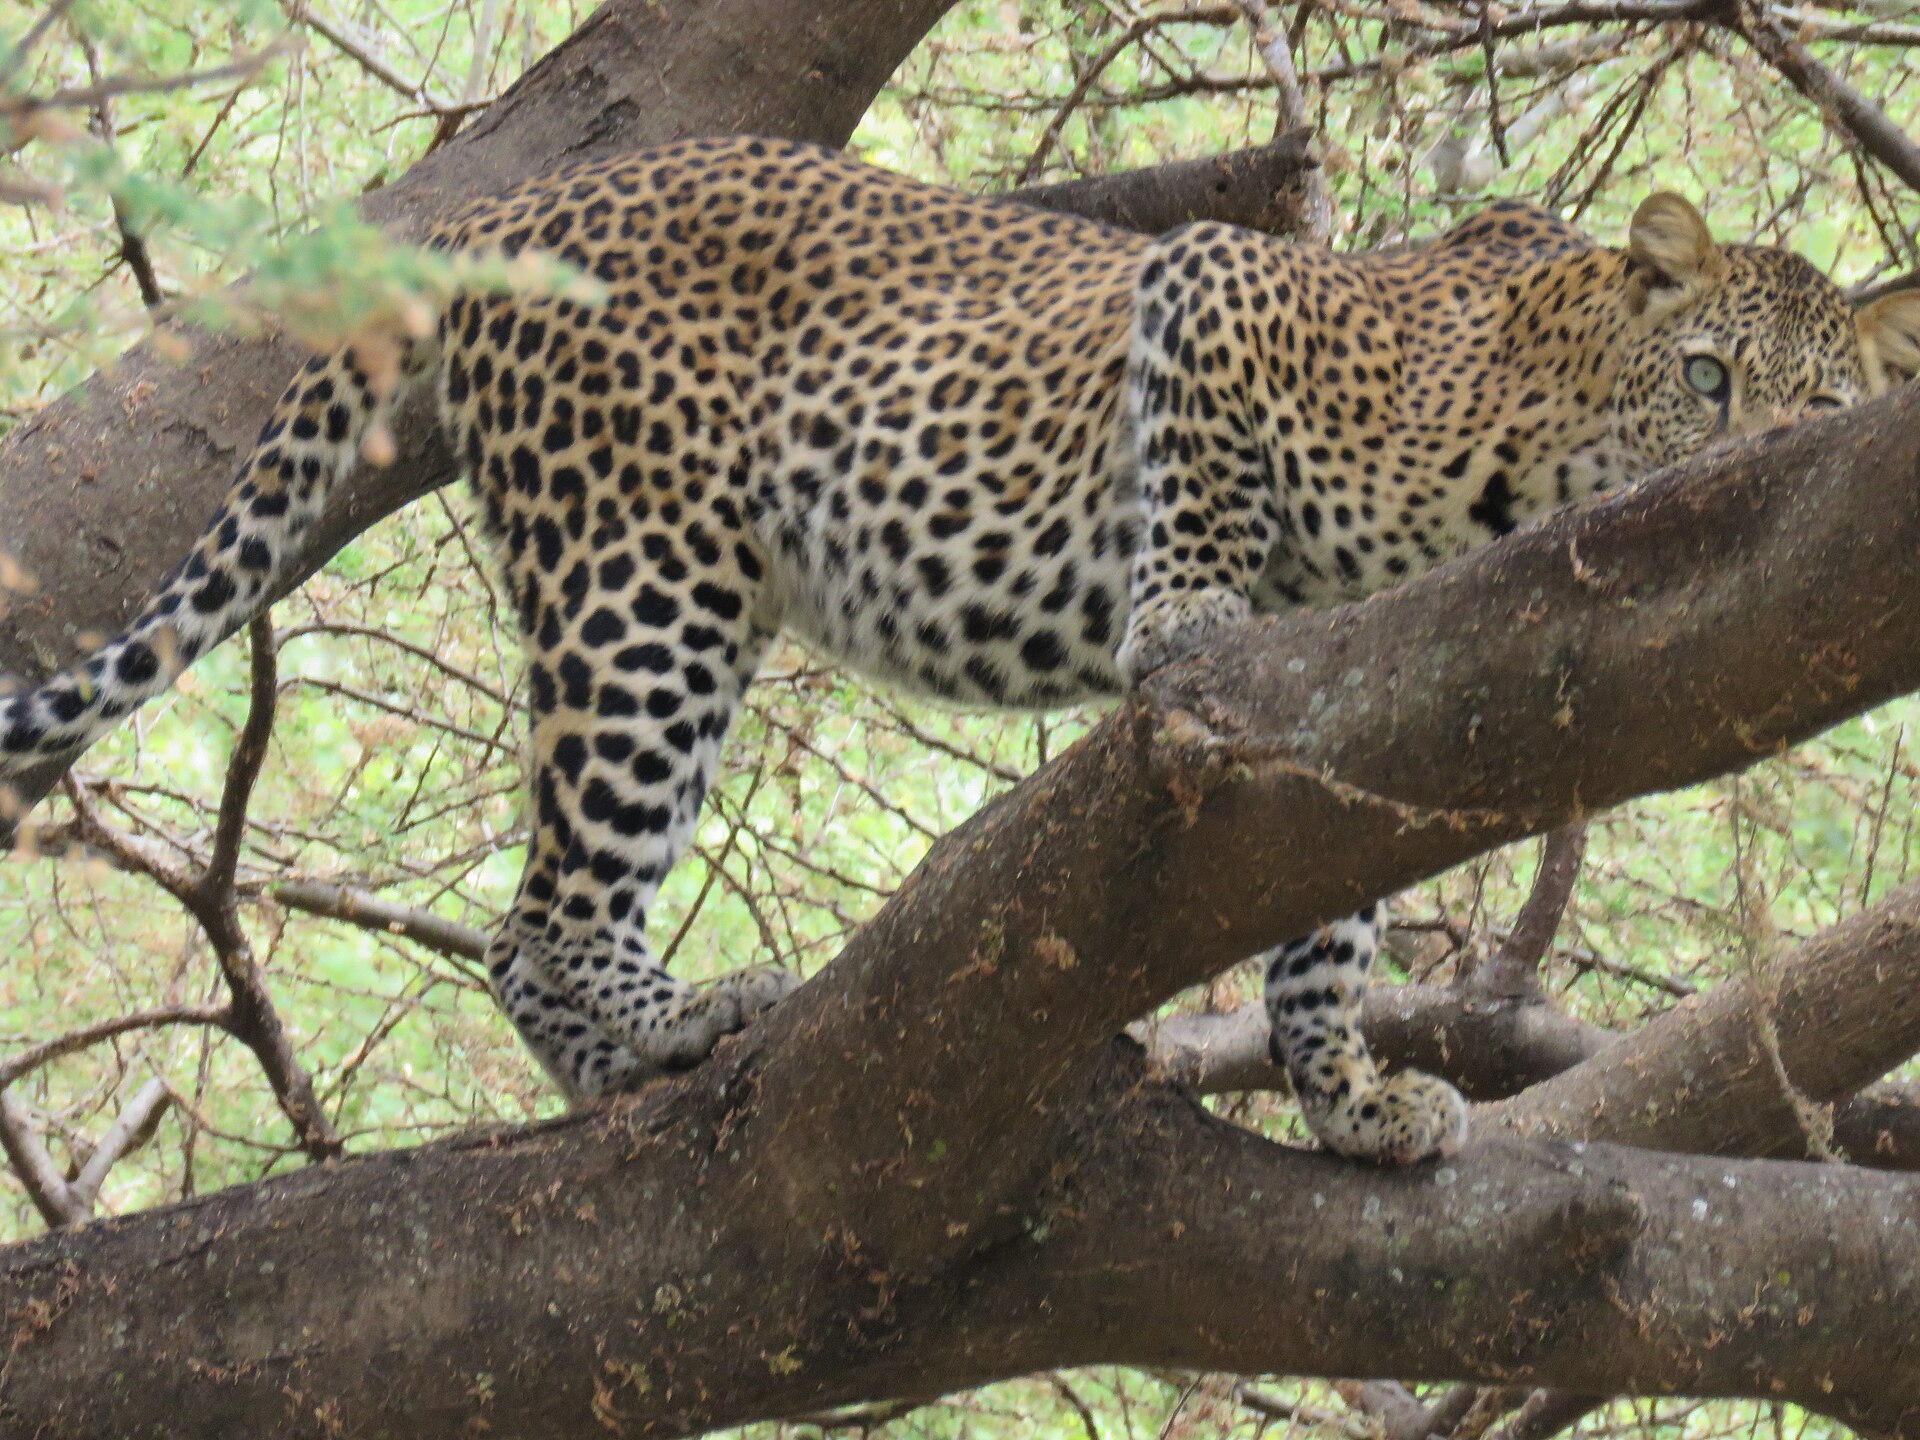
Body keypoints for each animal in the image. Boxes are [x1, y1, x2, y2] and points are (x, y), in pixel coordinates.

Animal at [5, 135, 1918, 1165]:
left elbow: (1325, 918)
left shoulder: (1375, 698)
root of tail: (538, 197)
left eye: (1828, 411)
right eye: (1709, 382)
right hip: (645, 575)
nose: (1758, 460)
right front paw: (1183, 615)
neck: (1529, 423)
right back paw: (668, 1030)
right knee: (539, 915)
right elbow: (1194, 480)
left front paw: (1349, 1099)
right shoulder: (1213, 287)